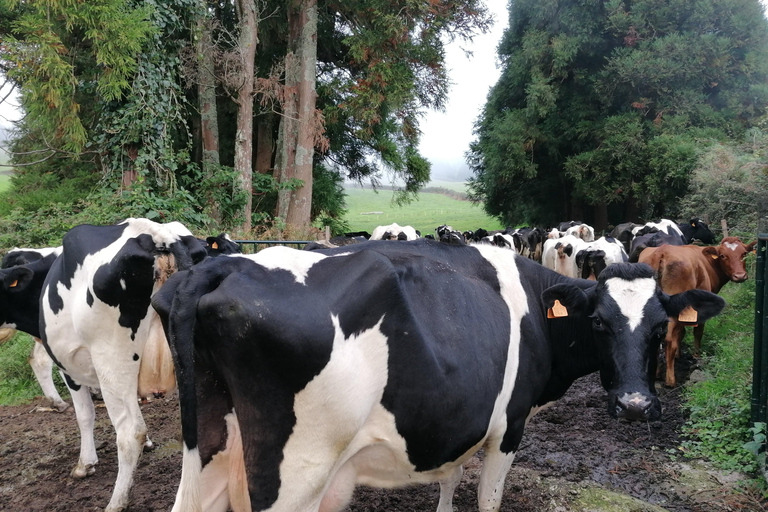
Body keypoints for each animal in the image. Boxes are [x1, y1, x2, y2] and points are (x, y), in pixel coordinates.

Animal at [39, 219, 207, 512]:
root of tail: (157, 234)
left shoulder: (70, 369)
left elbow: (85, 415)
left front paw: (84, 465)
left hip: (112, 359)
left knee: (130, 434)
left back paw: (116, 502)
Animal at [152, 240, 728, 512]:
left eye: (659, 327)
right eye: (601, 324)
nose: (635, 405)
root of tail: (221, 265)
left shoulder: (459, 418)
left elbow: (451, 478)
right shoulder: (509, 424)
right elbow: (488, 497)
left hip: (210, 445)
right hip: (296, 471)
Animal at [636, 236, 756, 384]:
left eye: (744, 253)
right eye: (723, 255)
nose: (740, 276)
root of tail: (661, 252)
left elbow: (681, 333)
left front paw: (679, 354)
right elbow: (698, 331)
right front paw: (696, 355)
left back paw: (656, 373)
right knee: (669, 339)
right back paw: (670, 380)